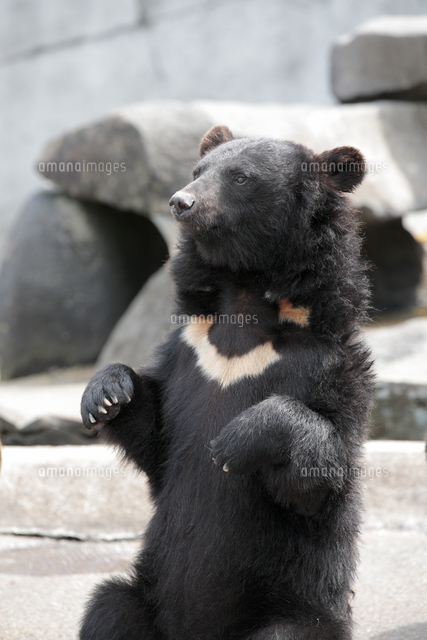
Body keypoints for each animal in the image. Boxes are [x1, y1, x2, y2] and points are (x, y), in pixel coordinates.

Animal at [79, 125, 374, 640]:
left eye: (240, 177)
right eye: (198, 171)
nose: (181, 202)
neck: (246, 301)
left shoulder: (329, 365)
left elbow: (319, 477)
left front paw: (233, 443)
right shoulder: (190, 350)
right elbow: (156, 437)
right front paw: (106, 395)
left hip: (297, 612)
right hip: (144, 597)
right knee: (109, 609)